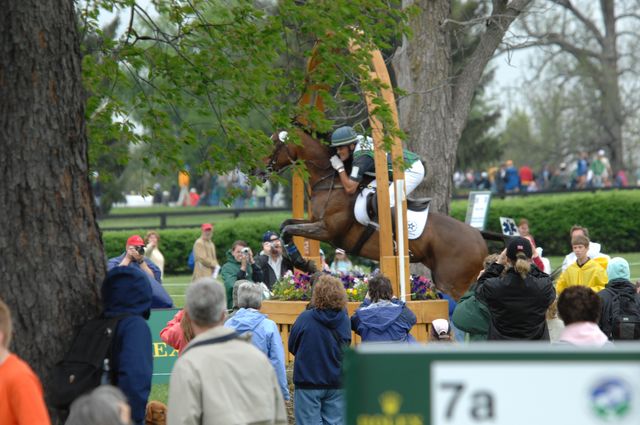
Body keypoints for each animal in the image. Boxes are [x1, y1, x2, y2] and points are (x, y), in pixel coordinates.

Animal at [258, 129, 488, 298]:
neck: (330, 182)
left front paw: (305, 264)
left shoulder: (328, 230)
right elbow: (286, 224)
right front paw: (306, 264)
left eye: (273, 144)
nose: (255, 171)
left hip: (451, 284)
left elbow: (288, 229)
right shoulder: (314, 222)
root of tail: (478, 236)